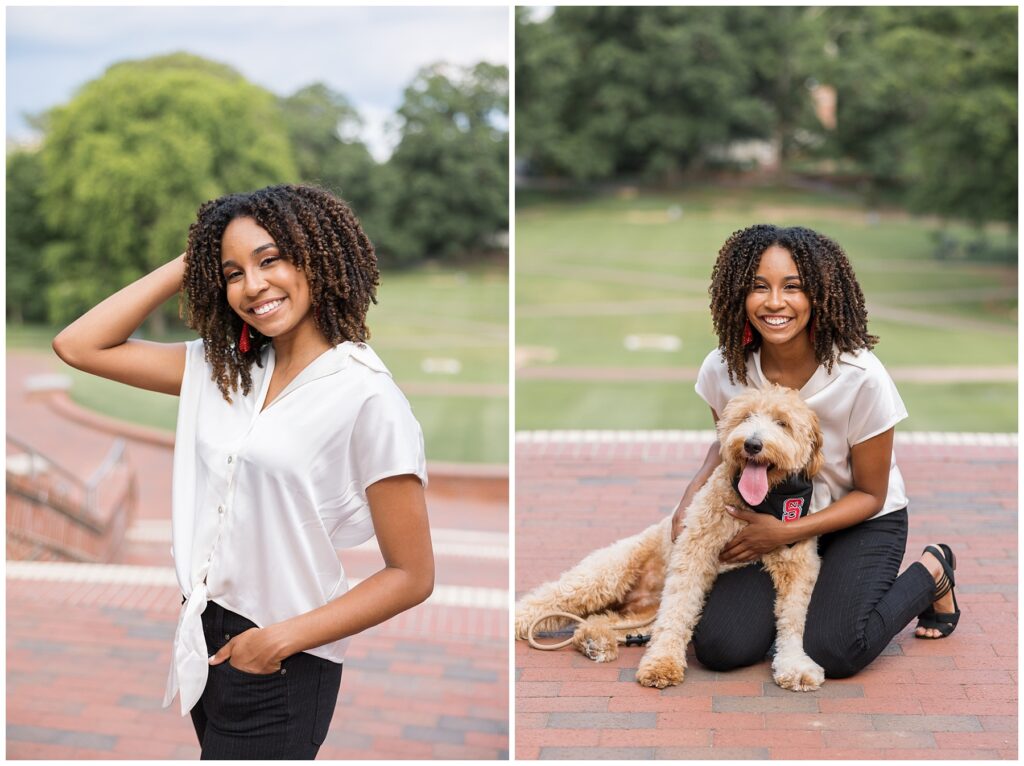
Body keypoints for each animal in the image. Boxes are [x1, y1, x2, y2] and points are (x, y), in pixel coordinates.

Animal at [516, 385, 827, 692]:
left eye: (782, 423)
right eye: (745, 416)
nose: (752, 444)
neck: (758, 504)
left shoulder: (799, 567)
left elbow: (794, 620)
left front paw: (795, 666)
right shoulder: (693, 554)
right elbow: (677, 612)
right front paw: (662, 664)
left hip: (641, 616)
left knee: (601, 621)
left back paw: (595, 640)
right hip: (605, 576)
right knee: (548, 598)